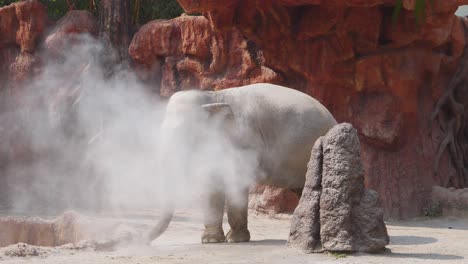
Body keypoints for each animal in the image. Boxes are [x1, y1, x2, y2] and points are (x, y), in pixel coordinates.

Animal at [150, 83, 336, 244]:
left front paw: (232, 240)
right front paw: (212, 241)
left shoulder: (242, 141)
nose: (145, 242)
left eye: (186, 132)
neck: (212, 96)